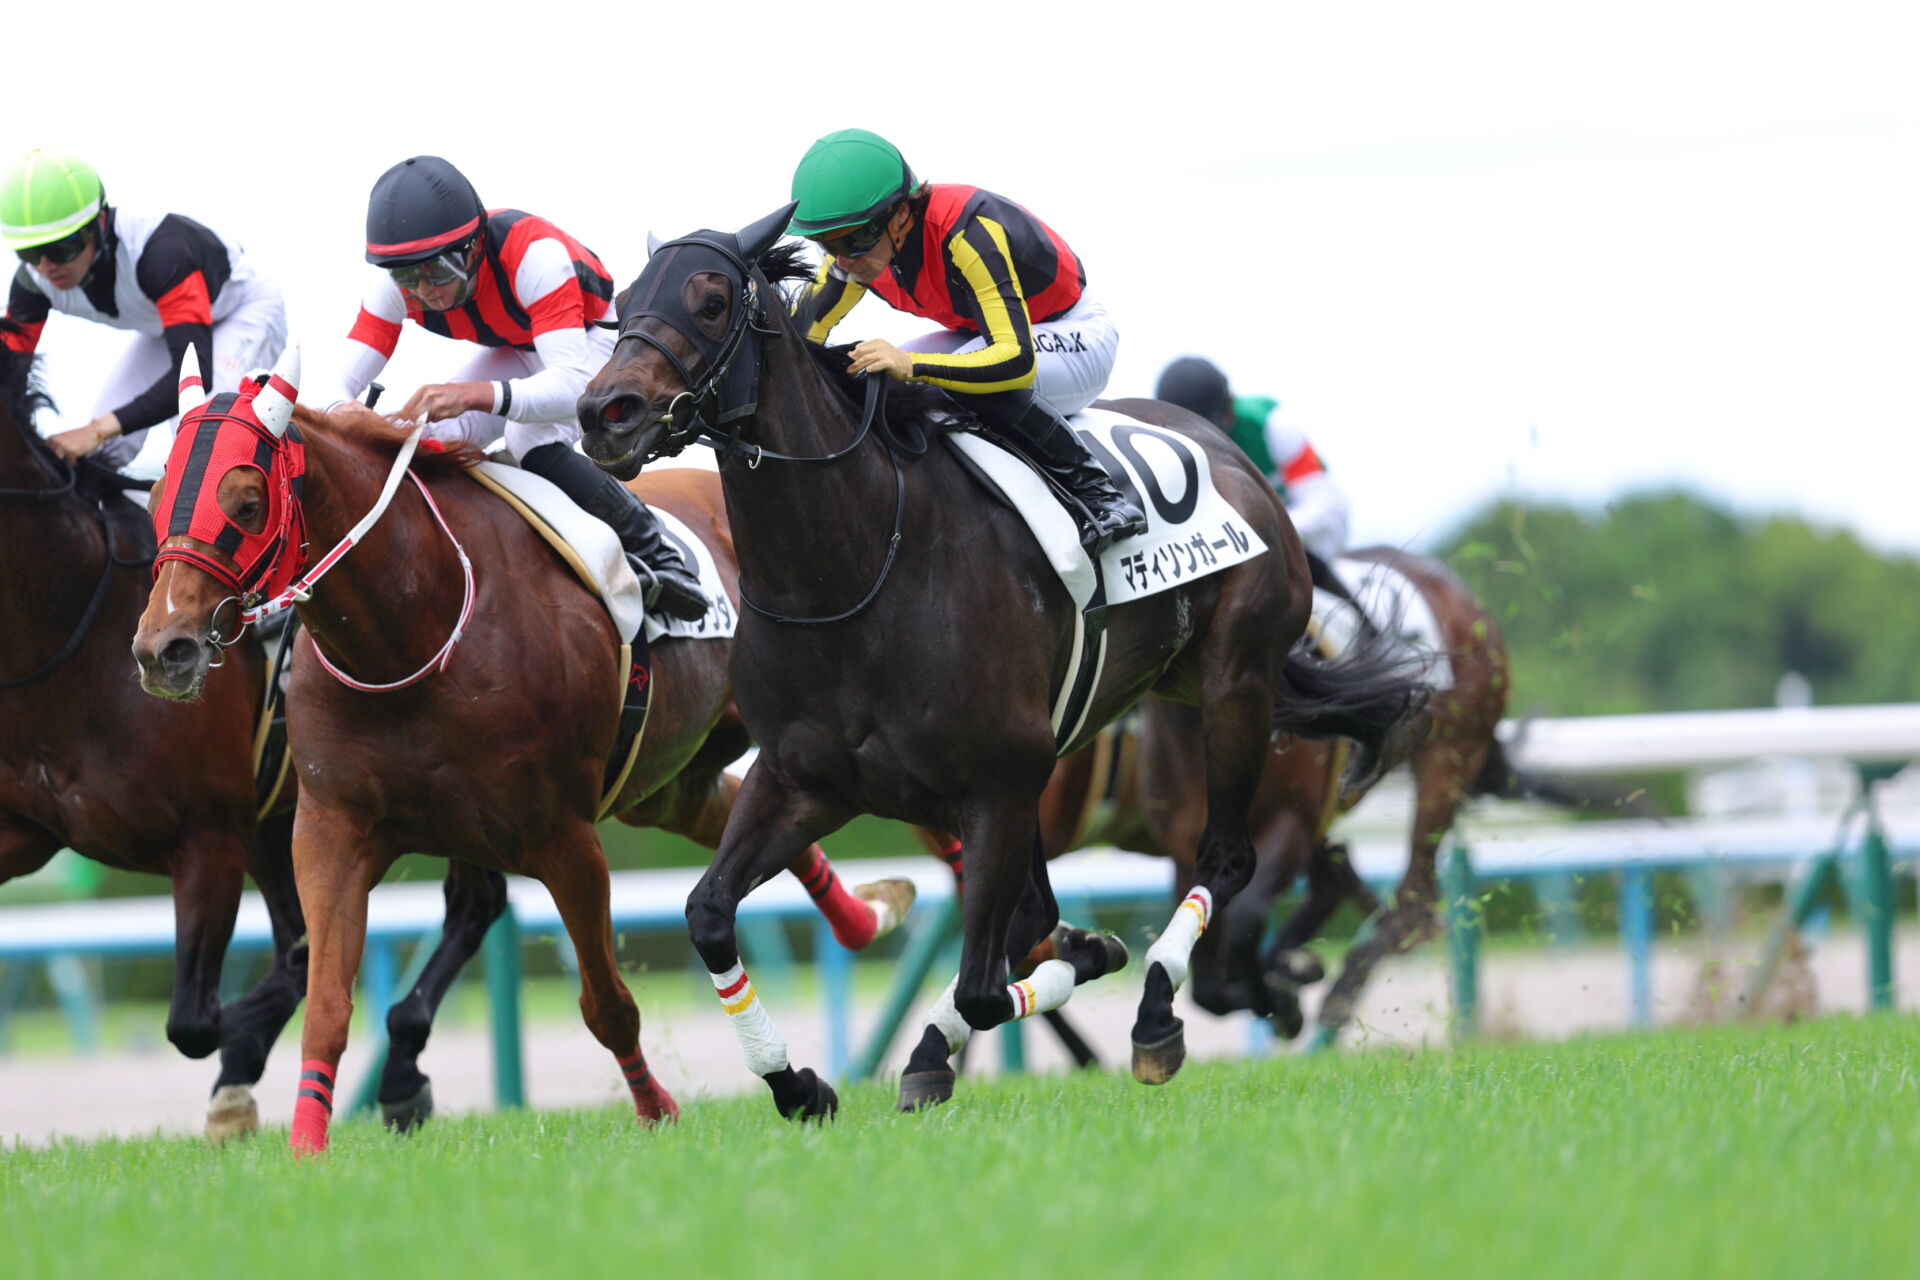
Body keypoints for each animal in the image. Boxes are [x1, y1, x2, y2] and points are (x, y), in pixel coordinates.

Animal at [130, 348, 909, 1151]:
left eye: (246, 503)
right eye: (156, 499)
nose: (164, 650)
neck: (417, 626)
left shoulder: (562, 837)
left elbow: (608, 1005)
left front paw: (657, 1110)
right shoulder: (331, 830)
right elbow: (326, 1007)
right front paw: (307, 1147)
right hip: (666, 779)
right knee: (732, 814)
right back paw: (868, 915)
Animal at [575, 207, 1428, 1118]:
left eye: (709, 301)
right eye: (621, 303)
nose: (604, 413)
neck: (856, 568)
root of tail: (1229, 455)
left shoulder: (997, 782)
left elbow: (989, 984)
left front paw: (1084, 969)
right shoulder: (805, 780)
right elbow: (708, 914)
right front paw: (796, 1082)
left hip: (1237, 685)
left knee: (1226, 859)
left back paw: (1160, 1011)